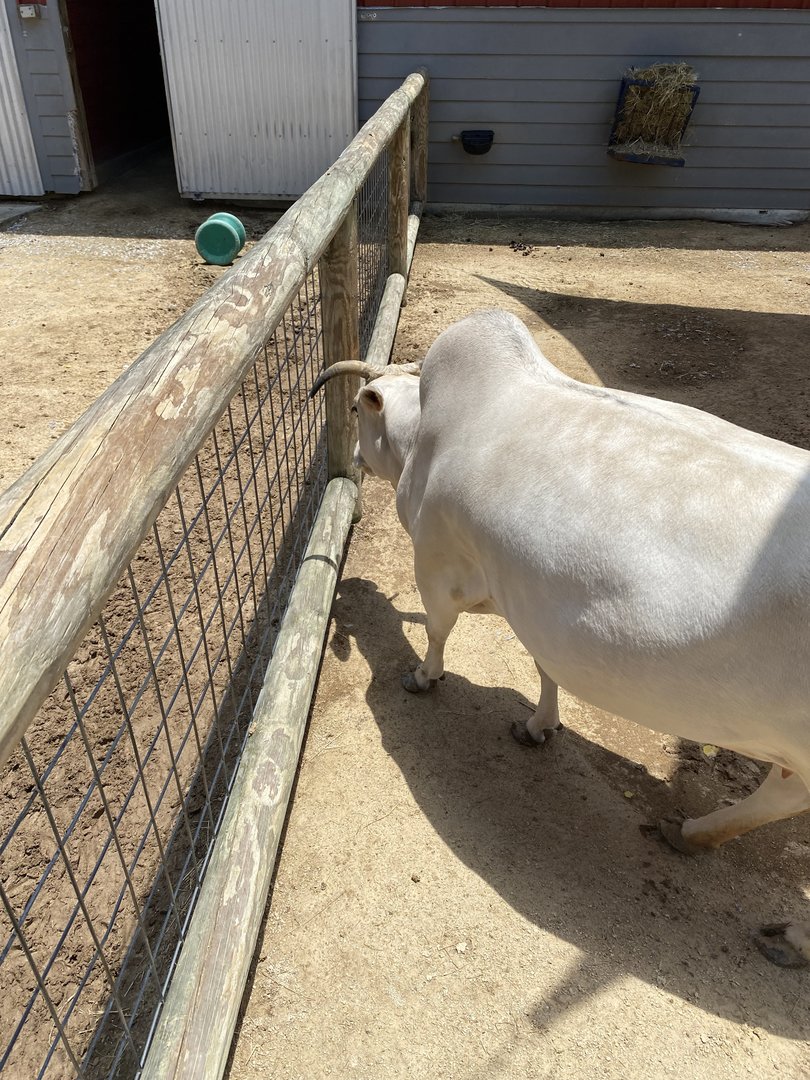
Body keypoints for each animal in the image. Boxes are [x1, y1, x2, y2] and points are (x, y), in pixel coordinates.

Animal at [312, 308, 810, 968]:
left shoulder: (439, 565)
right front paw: (540, 725)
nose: (354, 457)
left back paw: (777, 922)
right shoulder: (535, 599)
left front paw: (422, 676)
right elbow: (544, 665)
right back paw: (696, 835)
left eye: (355, 410)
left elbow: (440, 634)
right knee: (781, 794)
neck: (425, 439)